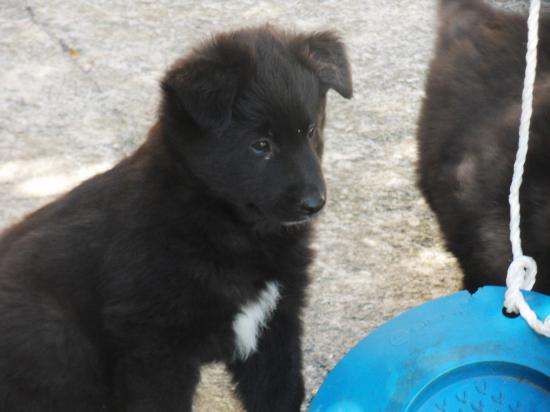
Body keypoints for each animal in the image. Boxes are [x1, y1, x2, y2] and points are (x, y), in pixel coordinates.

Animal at [0, 26, 354, 412]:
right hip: (56, 340)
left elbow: (282, 390)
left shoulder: (275, 322)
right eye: (260, 145)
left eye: (310, 131)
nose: (314, 203)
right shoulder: (157, 346)